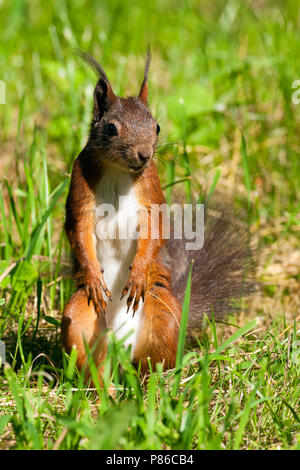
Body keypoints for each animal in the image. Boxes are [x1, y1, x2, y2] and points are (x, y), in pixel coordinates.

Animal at [62, 50, 254, 382]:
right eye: (111, 128)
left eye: (157, 127)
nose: (144, 154)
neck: (118, 171)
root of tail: (120, 347)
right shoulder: (80, 187)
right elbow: (79, 230)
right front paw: (93, 275)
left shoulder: (151, 190)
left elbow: (155, 228)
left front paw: (138, 273)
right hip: (78, 320)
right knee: (89, 358)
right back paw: (101, 387)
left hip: (163, 314)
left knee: (154, 362)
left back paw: (155, 386)